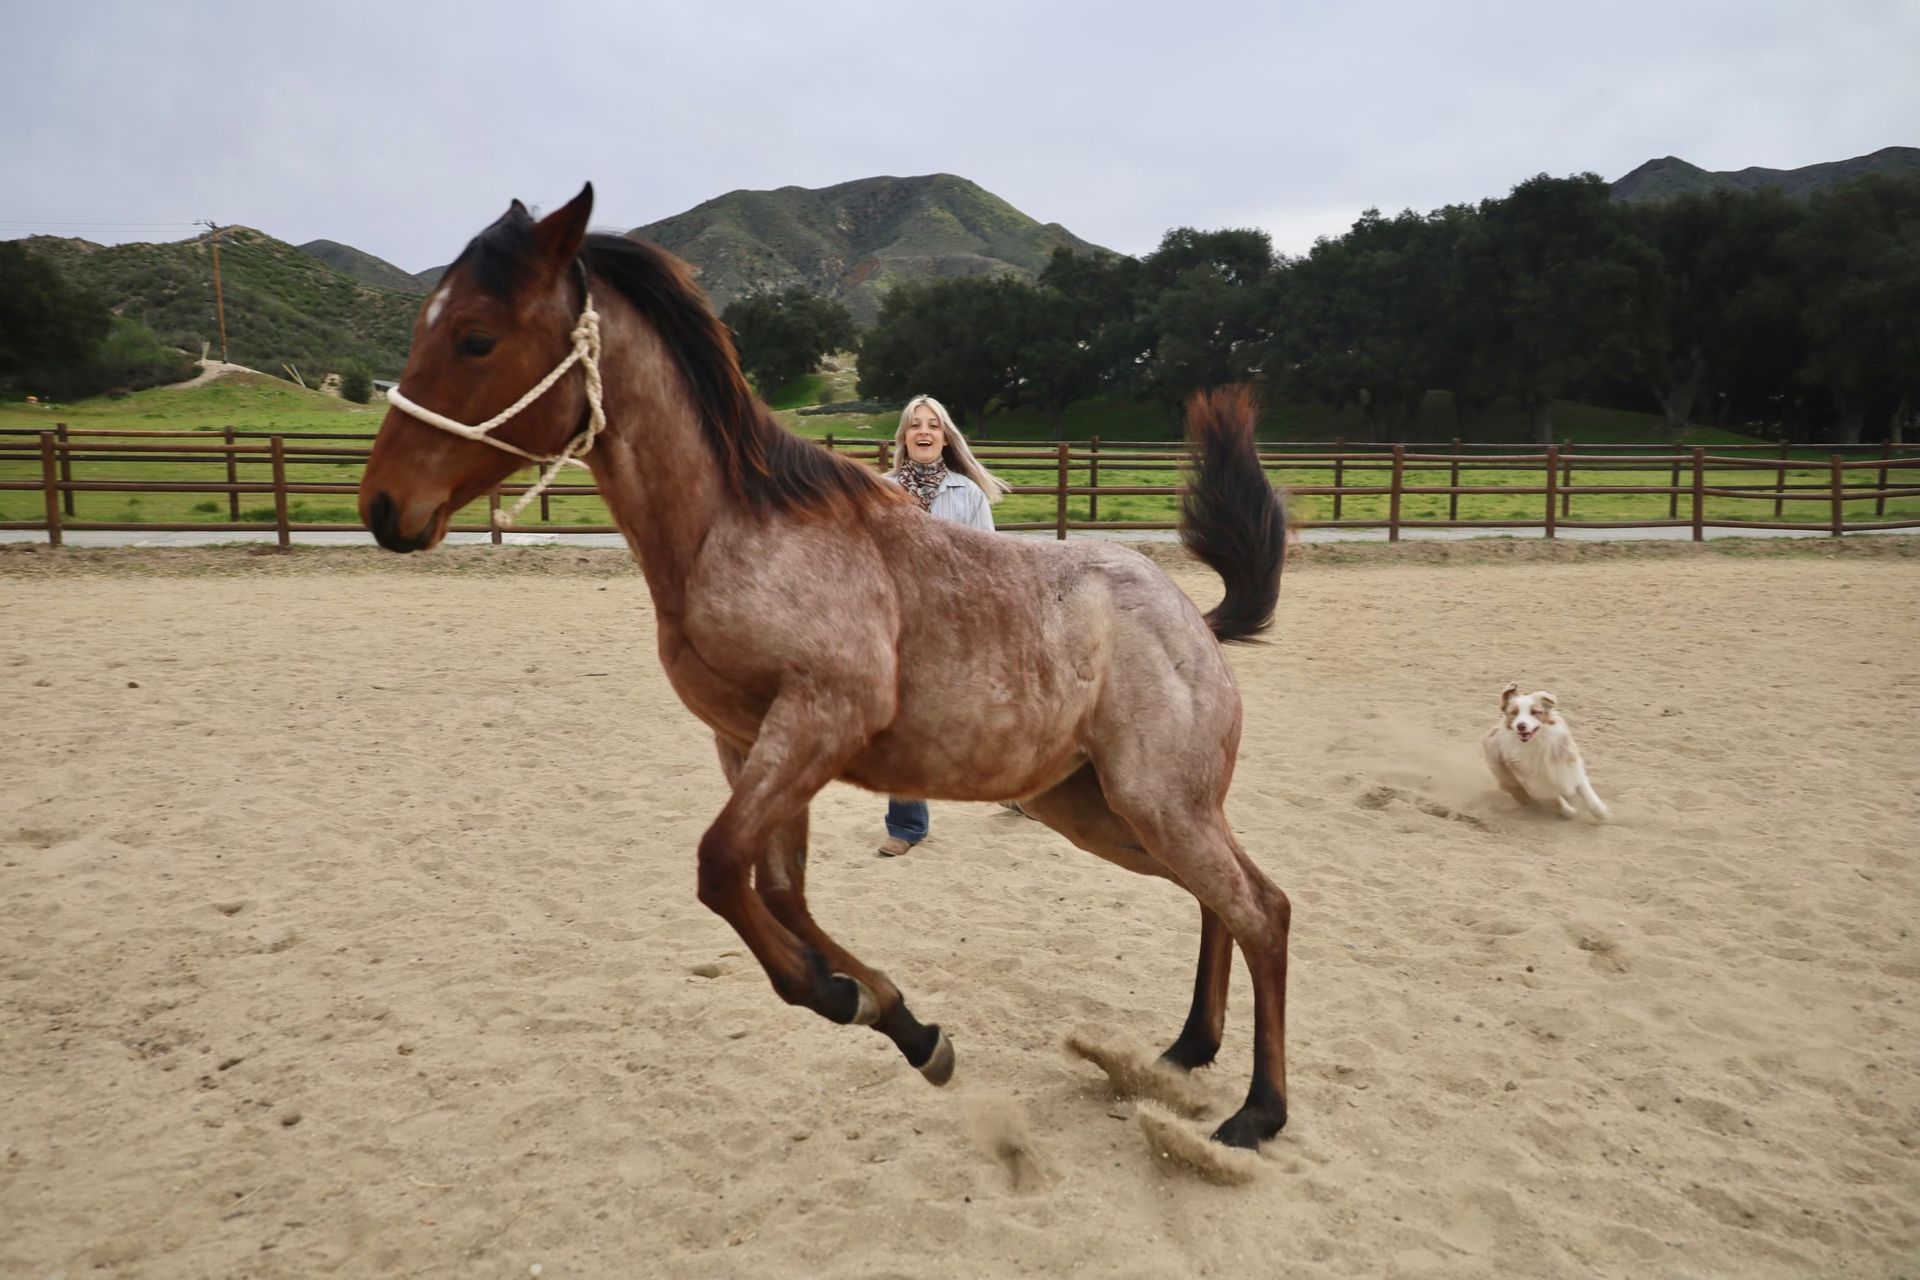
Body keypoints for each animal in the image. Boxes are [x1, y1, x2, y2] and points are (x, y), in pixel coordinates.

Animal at [357, 184, 1295, 1151]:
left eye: (476, 336)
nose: (384, 506)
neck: (736, 535)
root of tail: (1197, 623)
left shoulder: (817, 723)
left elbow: (723, 869)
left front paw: (851, 999)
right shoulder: (750, 743)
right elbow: (778, 891)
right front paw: (903, 1021)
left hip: (1155, 805)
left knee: (1263, 910)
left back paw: (1257, 1112)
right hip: (1100, 812)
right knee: (1225, 900)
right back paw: (1189, 1047)